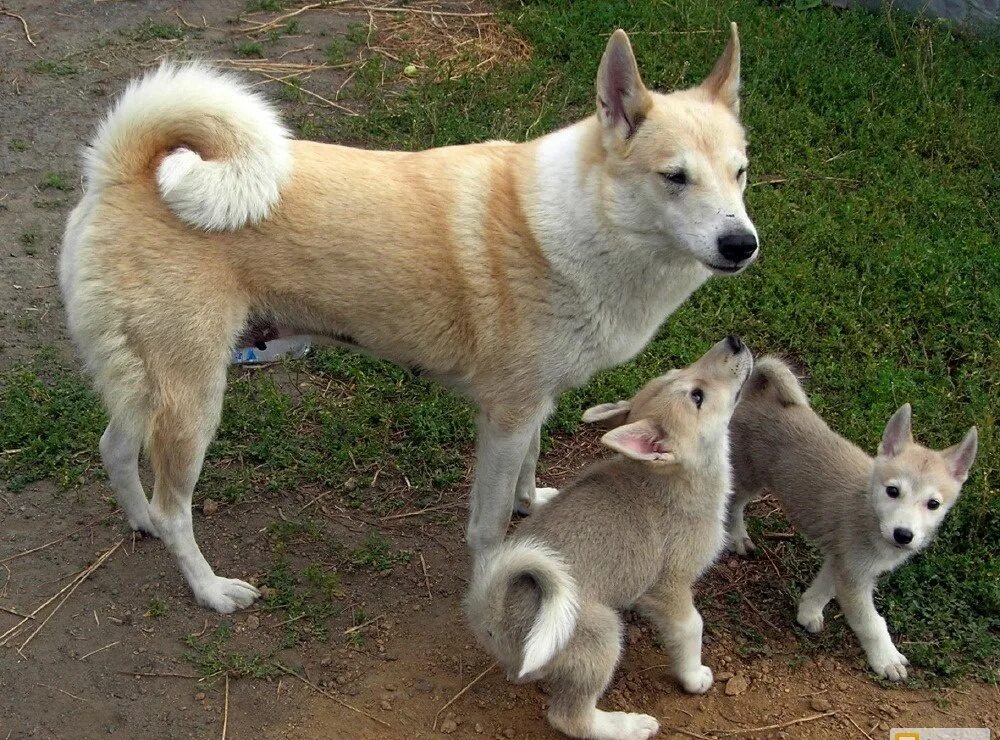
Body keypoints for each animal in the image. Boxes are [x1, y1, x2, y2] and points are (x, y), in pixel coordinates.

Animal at [60, 26, 756, 612]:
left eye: (741, 173)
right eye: (674, 177)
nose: (742, 245)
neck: (585, 222)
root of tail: (124, 169)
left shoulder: (533, 404)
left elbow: (530, 468)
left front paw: (534, 504)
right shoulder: (505, 416)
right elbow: (489, 526)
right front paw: (498, 576)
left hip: (148, 386)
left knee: (116, 450)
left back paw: (141, 524)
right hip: (194, 399)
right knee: (174, 508)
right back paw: (210, 590)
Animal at [460, 338, 752, 740]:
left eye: (681, 371)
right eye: (697, 396)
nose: (734, 341)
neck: (668, 481)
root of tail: (491, 611)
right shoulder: (671, 588)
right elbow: (692, 628)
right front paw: (694, 676)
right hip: (602, 632)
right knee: (570, 717)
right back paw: (628, 726)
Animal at [728, 358, 976, 684]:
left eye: (933, 504)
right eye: (893, 491)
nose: (903, 535)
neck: (869, 509)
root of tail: (757, 392)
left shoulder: (842, 562)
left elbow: (823, 589)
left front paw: (808, 612)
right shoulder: (855, 578)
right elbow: (871, 623)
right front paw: (886, 659)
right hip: (748, 478)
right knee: (734, 505)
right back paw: (737, 537)